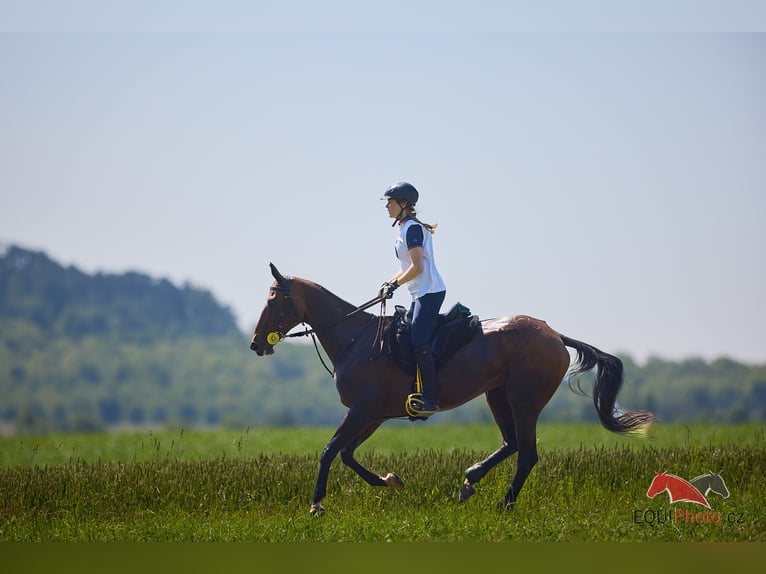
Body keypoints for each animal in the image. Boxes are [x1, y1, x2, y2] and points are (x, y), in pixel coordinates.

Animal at [250, 266, 656, 516]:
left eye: (273, 300)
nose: (256, 344)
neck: (357, 338)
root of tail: (555, 334)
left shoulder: (362, 410)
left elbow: (330, 450)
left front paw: (317, 505)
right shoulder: (373, 414)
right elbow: (347, 454)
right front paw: (390, 481)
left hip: (524, 401)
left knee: (527, 454)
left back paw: (504, 504)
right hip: (497, 395)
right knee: (511, 443)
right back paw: (470, 481)